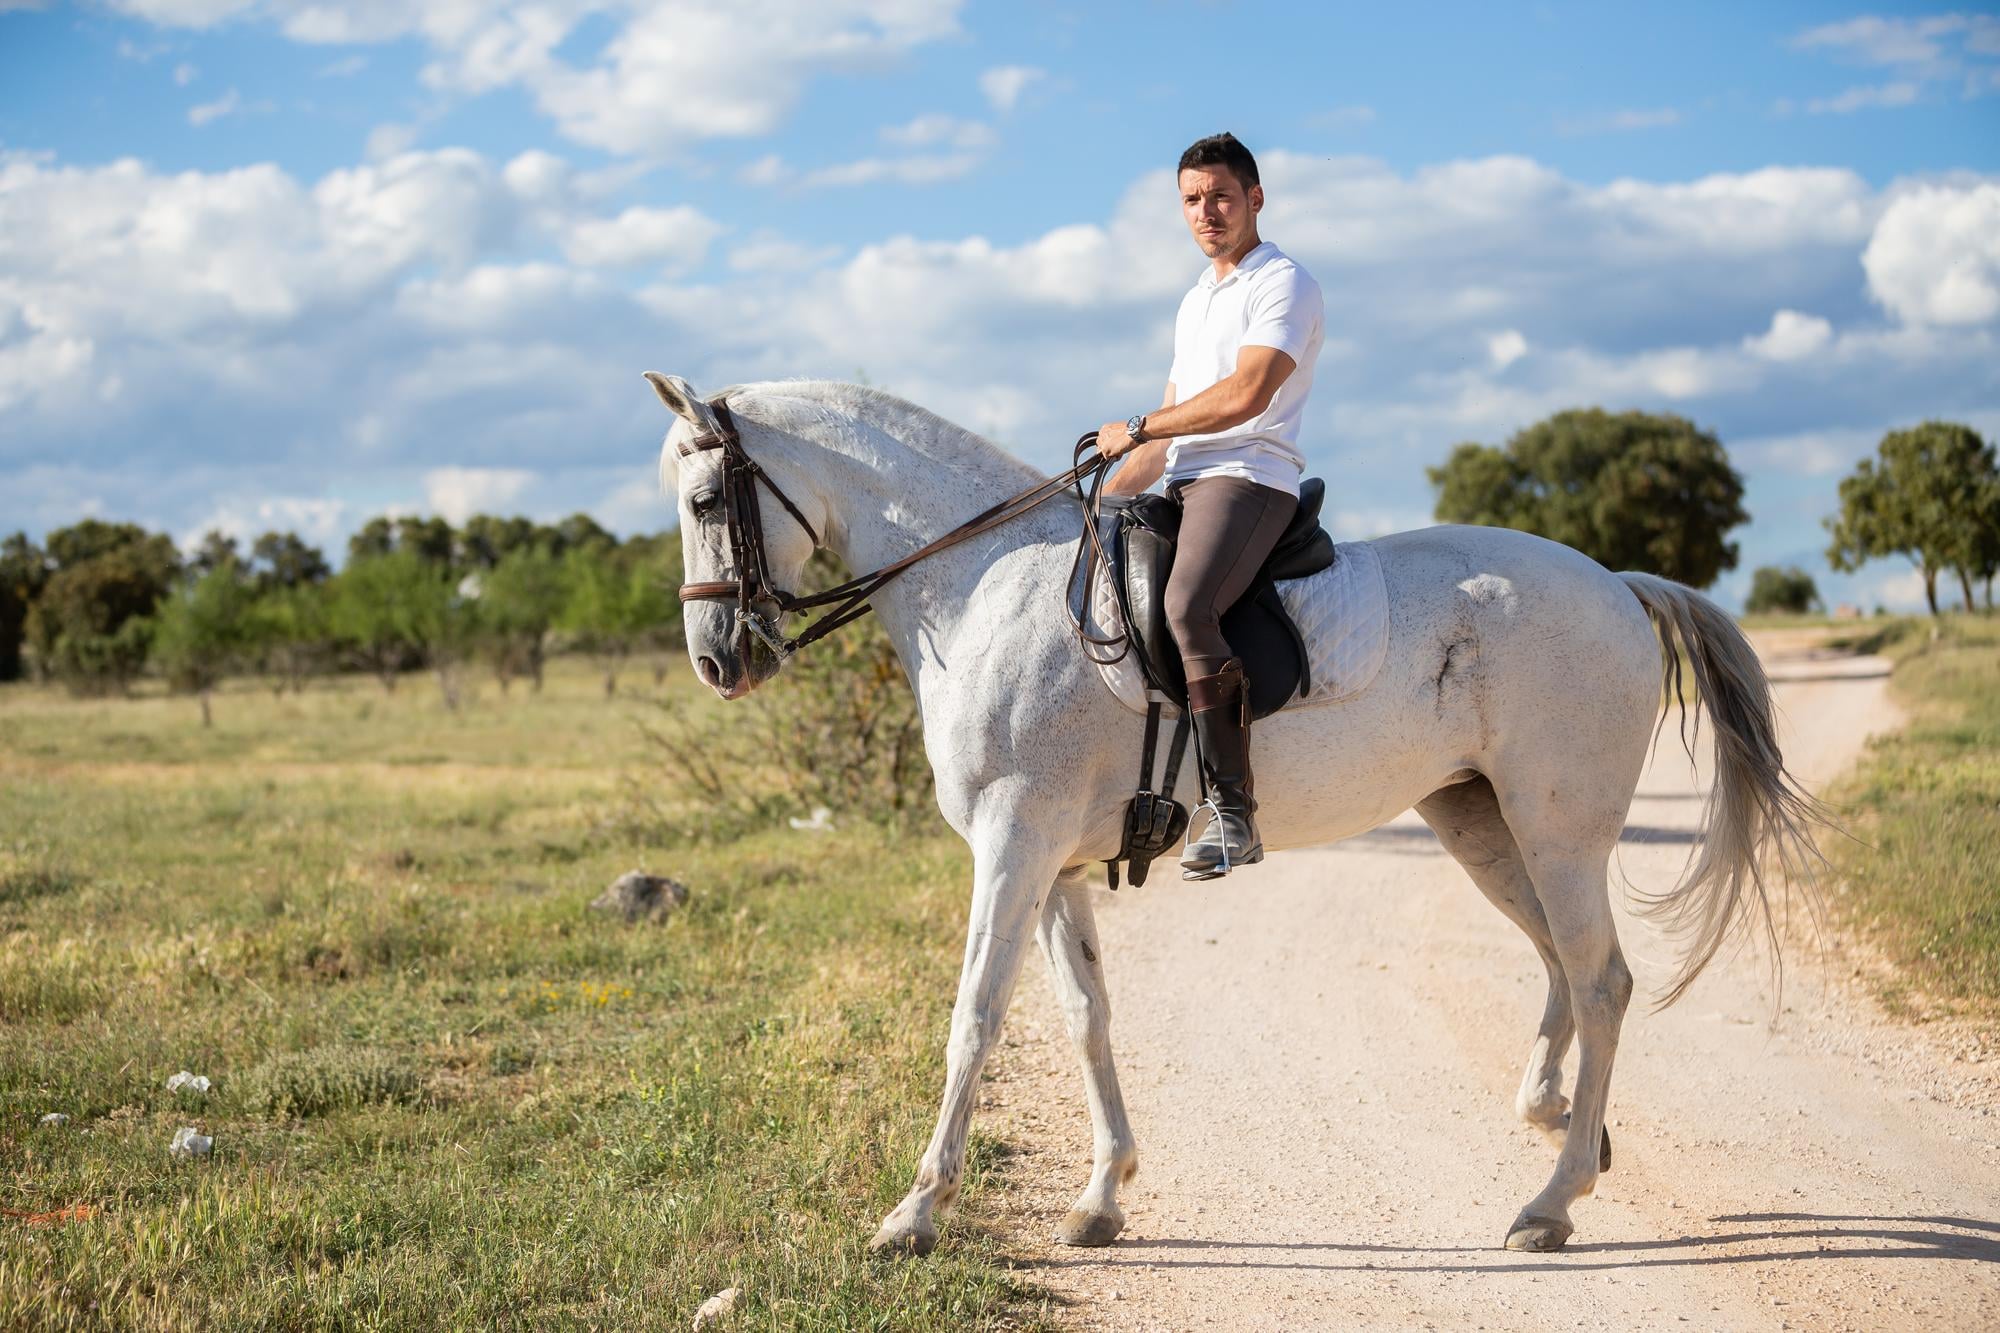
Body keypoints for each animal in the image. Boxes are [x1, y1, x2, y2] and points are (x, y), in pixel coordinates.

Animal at [645, 374, 1826, 1256]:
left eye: (704, 505)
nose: (716, 663)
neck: (984, 584)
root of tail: (1618, 583)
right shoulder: (1052, 863)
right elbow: (1084, 1015)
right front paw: (1101, 1197)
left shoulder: (1011, 845)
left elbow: (973, 1018)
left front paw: (914, 1213)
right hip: (1479, 823)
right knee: (1559, 967)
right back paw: (1556, 1121)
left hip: (1558, 831)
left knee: (1601, 979)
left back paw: (1550, 1200)